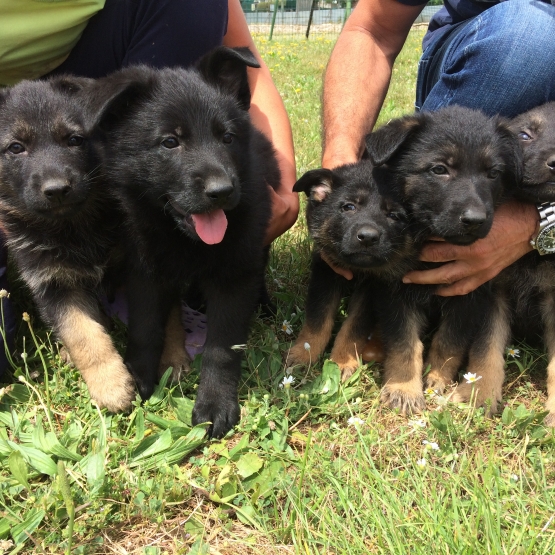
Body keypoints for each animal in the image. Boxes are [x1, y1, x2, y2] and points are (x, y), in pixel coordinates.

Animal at [92, 47, 282, 438]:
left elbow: (222, 347)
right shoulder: (144, 269)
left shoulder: (235, 273)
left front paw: (215, 404)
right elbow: (145, 326)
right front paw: (138, 377)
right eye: (170, 142)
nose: (222, 191)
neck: (182, 236)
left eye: (227, 138)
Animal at [286, 159, 412, 380]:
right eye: (349, 207)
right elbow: (317, 319)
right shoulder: (325, 272)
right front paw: (304, 353)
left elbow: (354, 326)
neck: (357, 268)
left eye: (393, 215)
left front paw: (341, 361)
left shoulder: (371, 288)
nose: (368, 237)